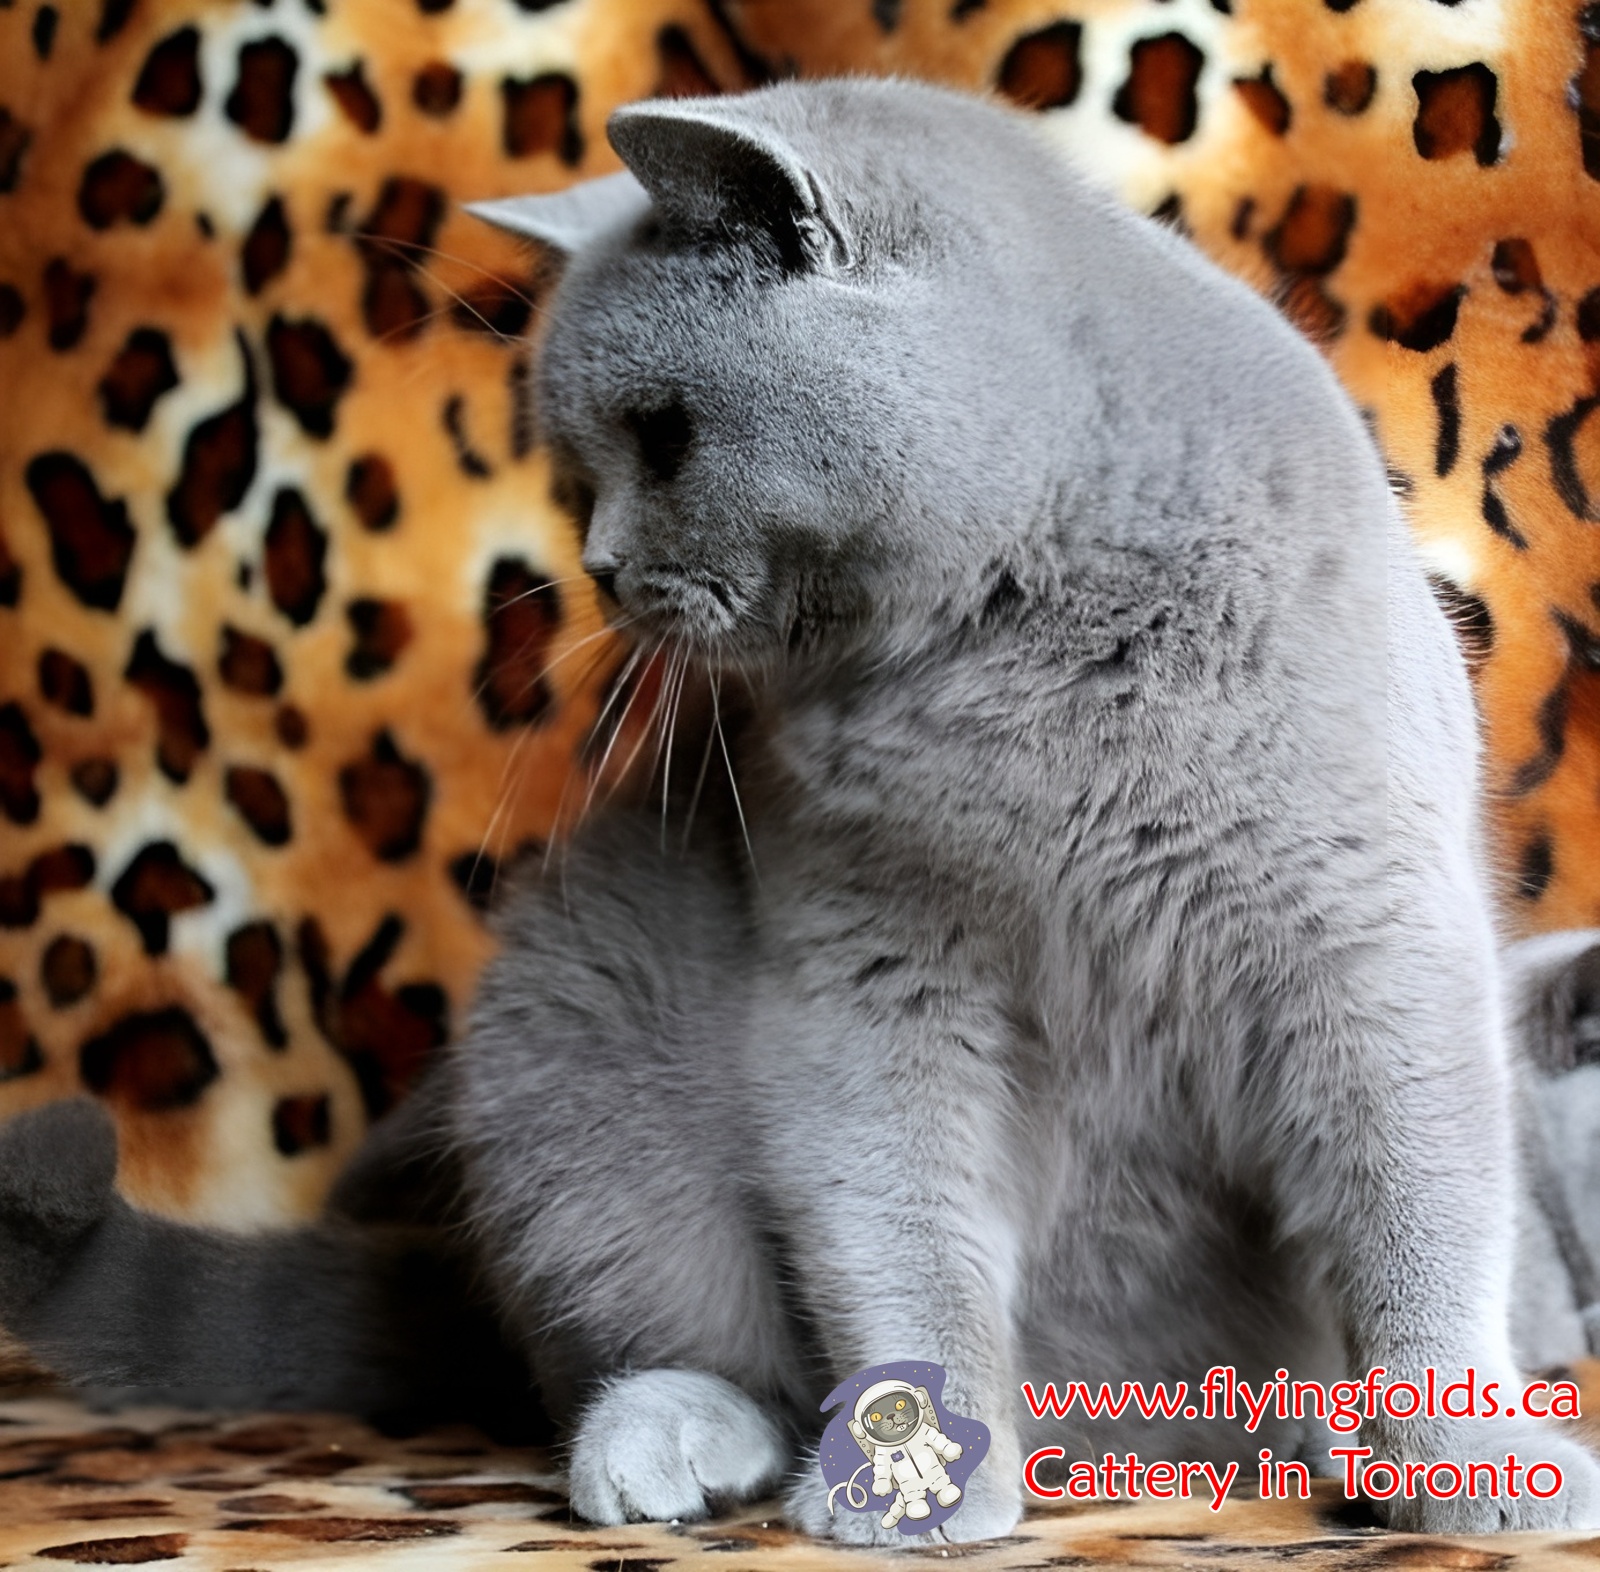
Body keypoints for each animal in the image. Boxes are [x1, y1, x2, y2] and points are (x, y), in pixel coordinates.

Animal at [3, 76, 1600, 1544]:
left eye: (662, 435)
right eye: (581, 472)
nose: (598, 564)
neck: (1016, 656)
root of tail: (1120, 1430)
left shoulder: (1371, 946)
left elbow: (1420, 1219)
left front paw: (1462, 1468)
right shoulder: (868, 978)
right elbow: (899, 1237)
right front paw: (924, 1473)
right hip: (571, 1037)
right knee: (661, 1346)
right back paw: (674, 1446)